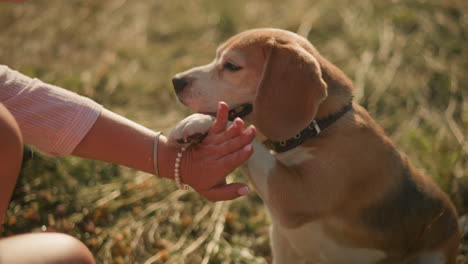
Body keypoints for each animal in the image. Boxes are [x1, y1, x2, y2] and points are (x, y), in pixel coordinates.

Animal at [166, 27, 458, 262]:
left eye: (231, 66)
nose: (176, 81)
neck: (320, 129)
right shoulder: (282, 240)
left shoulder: (293, 195)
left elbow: (246, 137)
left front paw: (196, 122)